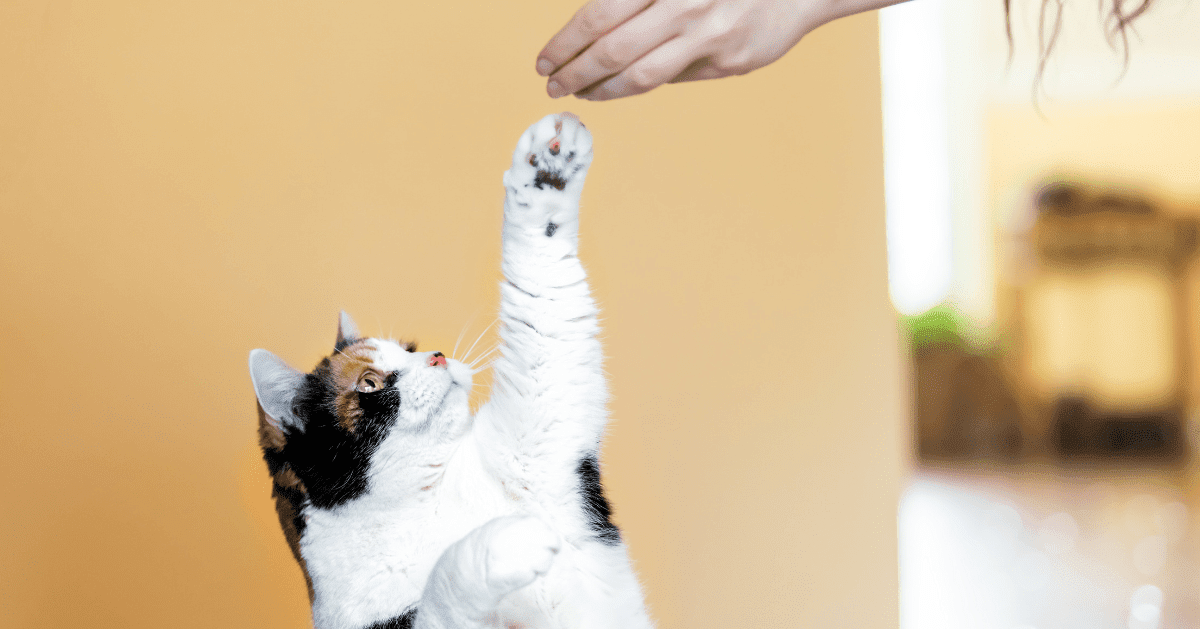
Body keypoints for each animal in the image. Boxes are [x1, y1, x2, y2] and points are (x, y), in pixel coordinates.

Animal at [247, 114, 652, 629]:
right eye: (369, 383)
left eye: (410, 350)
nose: (437, 356)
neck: (425, 499)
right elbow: (443, 584)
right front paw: (506, 543)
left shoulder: (541, 438)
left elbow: (543, 294)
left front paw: (548, 169)